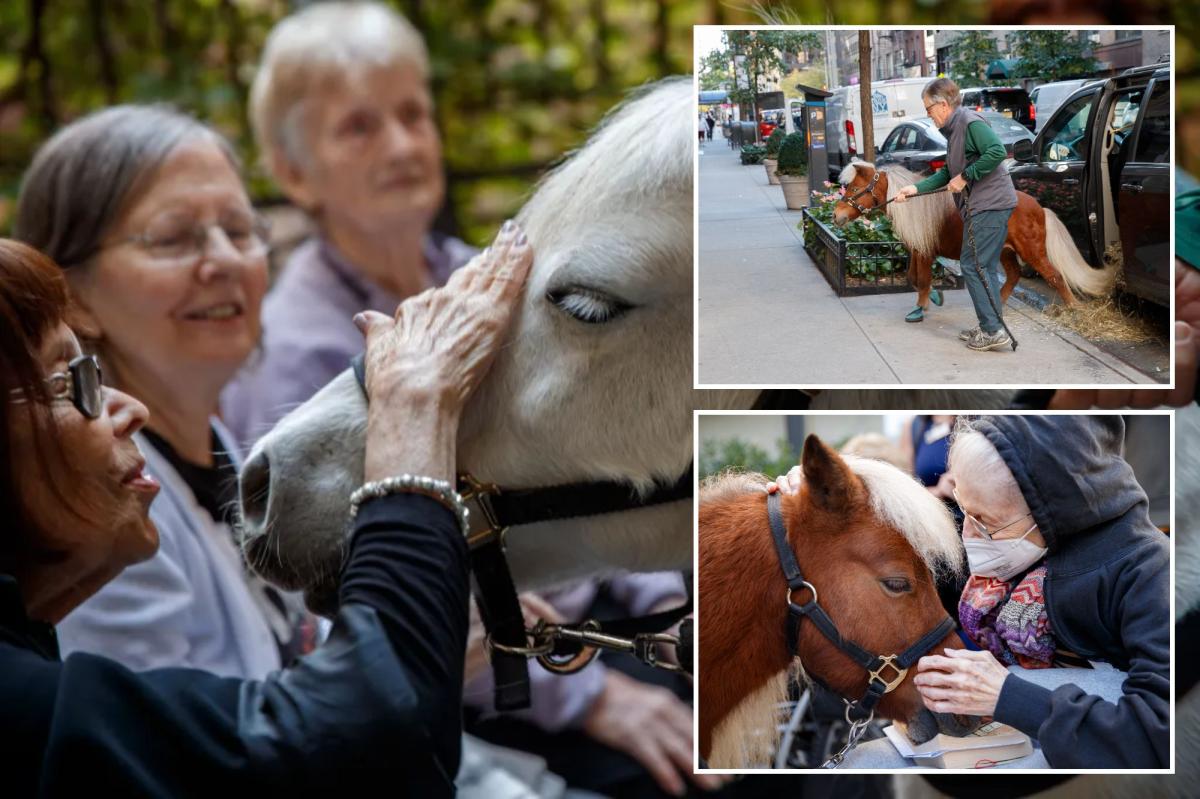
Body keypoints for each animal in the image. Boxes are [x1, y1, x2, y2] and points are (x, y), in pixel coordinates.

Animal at [833, 162, 1117, 322]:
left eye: (855, 189)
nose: (836, 215)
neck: (914, 206)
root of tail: (1040, 208)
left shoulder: (924, 252)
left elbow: (921, 280)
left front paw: (920, 309)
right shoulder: (917, 250)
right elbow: (913, 279)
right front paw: (934, 297)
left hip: (1032, 251)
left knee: (1055, 276)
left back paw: (1074, 309)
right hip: (1005, 252)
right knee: (1014, 275)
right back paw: (998, 304)